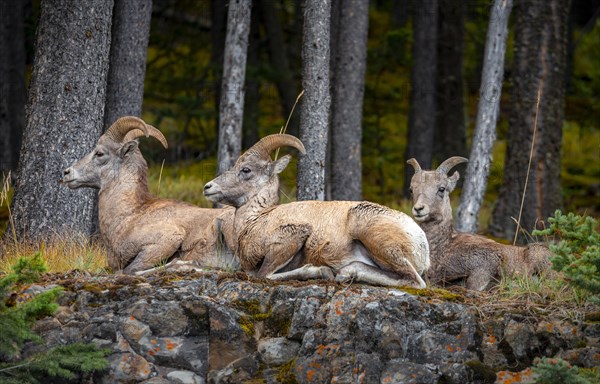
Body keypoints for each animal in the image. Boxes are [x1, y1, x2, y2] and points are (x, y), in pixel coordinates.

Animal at [61, 115, 237, 274]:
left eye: (99, 153)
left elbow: (130, 270)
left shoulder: (167, 240)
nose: (67, 173)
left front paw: (182, 264)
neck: (129, 216)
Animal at [204, 134, 428, 286]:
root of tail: (420, 240)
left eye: (246, 170)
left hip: (377, 240)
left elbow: (264, 275)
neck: (256, 220)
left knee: (414, 280)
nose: (208, 187)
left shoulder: (291, 238)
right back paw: (345, 273)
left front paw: (320, 271)